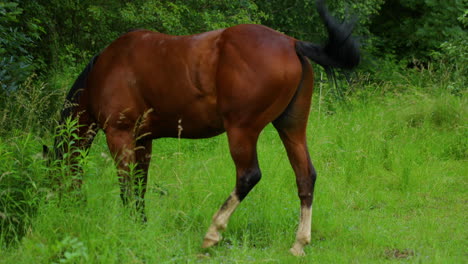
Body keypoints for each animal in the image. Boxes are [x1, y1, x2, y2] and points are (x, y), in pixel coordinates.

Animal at [43, 0, 358, 256]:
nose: (62, 208)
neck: (104, 72)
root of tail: (292, 43)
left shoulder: (119, 134)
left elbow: (127, 183)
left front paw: (130, 224)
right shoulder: (143, 139)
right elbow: (140, 182)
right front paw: (140, 223)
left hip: (242, 130)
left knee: (248, 176)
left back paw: (212, 233)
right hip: (291, 127)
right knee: (305, 176)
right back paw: (298, 244)